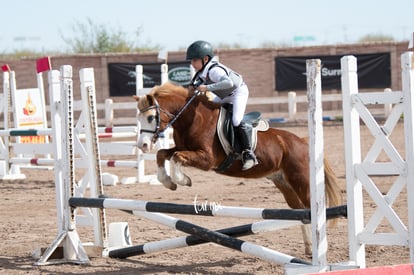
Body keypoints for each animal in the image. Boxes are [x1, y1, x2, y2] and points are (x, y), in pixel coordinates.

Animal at [134, 83, 342, 256]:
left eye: (151, 118)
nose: (142, 145)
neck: (192, 118)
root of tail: (303, 142)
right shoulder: (181, 148)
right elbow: (162, 153)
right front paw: (168, 182)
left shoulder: (207, 159)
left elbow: (176, 157)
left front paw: (182, 180)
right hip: (284, 183)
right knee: (301, 212)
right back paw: (309, 249)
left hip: (301, 179)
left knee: (311, 209)